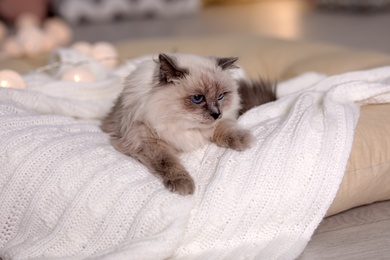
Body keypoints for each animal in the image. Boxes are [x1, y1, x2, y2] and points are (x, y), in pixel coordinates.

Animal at [101, 53, 278, 195]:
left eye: (220, 96)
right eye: (197, 98)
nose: (217, 114)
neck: (181, 124)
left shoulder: (214, 126)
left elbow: (226, 129)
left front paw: (243, 141)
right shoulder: (148, 142)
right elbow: (169, 163)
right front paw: (184, 184)